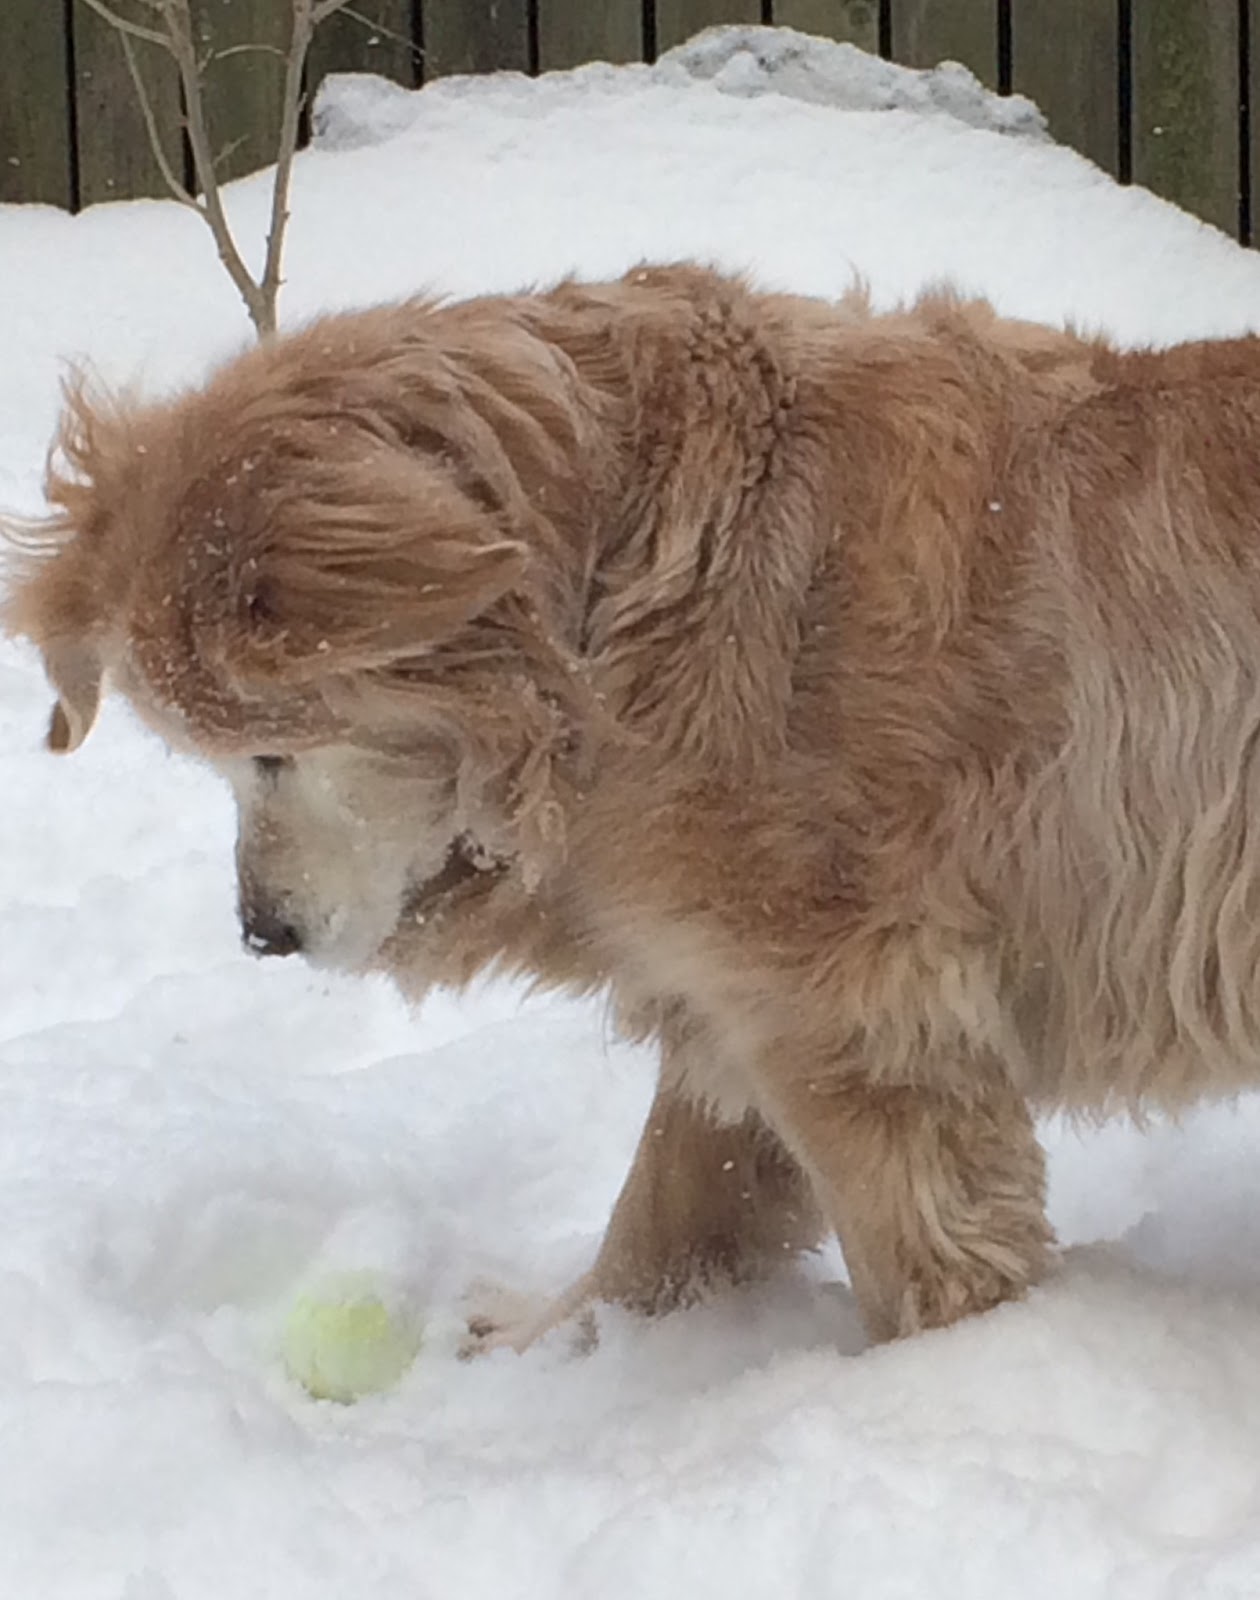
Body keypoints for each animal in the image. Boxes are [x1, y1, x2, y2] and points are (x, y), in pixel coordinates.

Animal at [9, 265, 1260, 1350]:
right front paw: (563, 1346)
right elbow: (670, 1203)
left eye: (272, 753)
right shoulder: (725, 987)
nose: (260, 933)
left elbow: (918, 1251)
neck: (622, 583)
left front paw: (945, 1375)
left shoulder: (847, 1006)